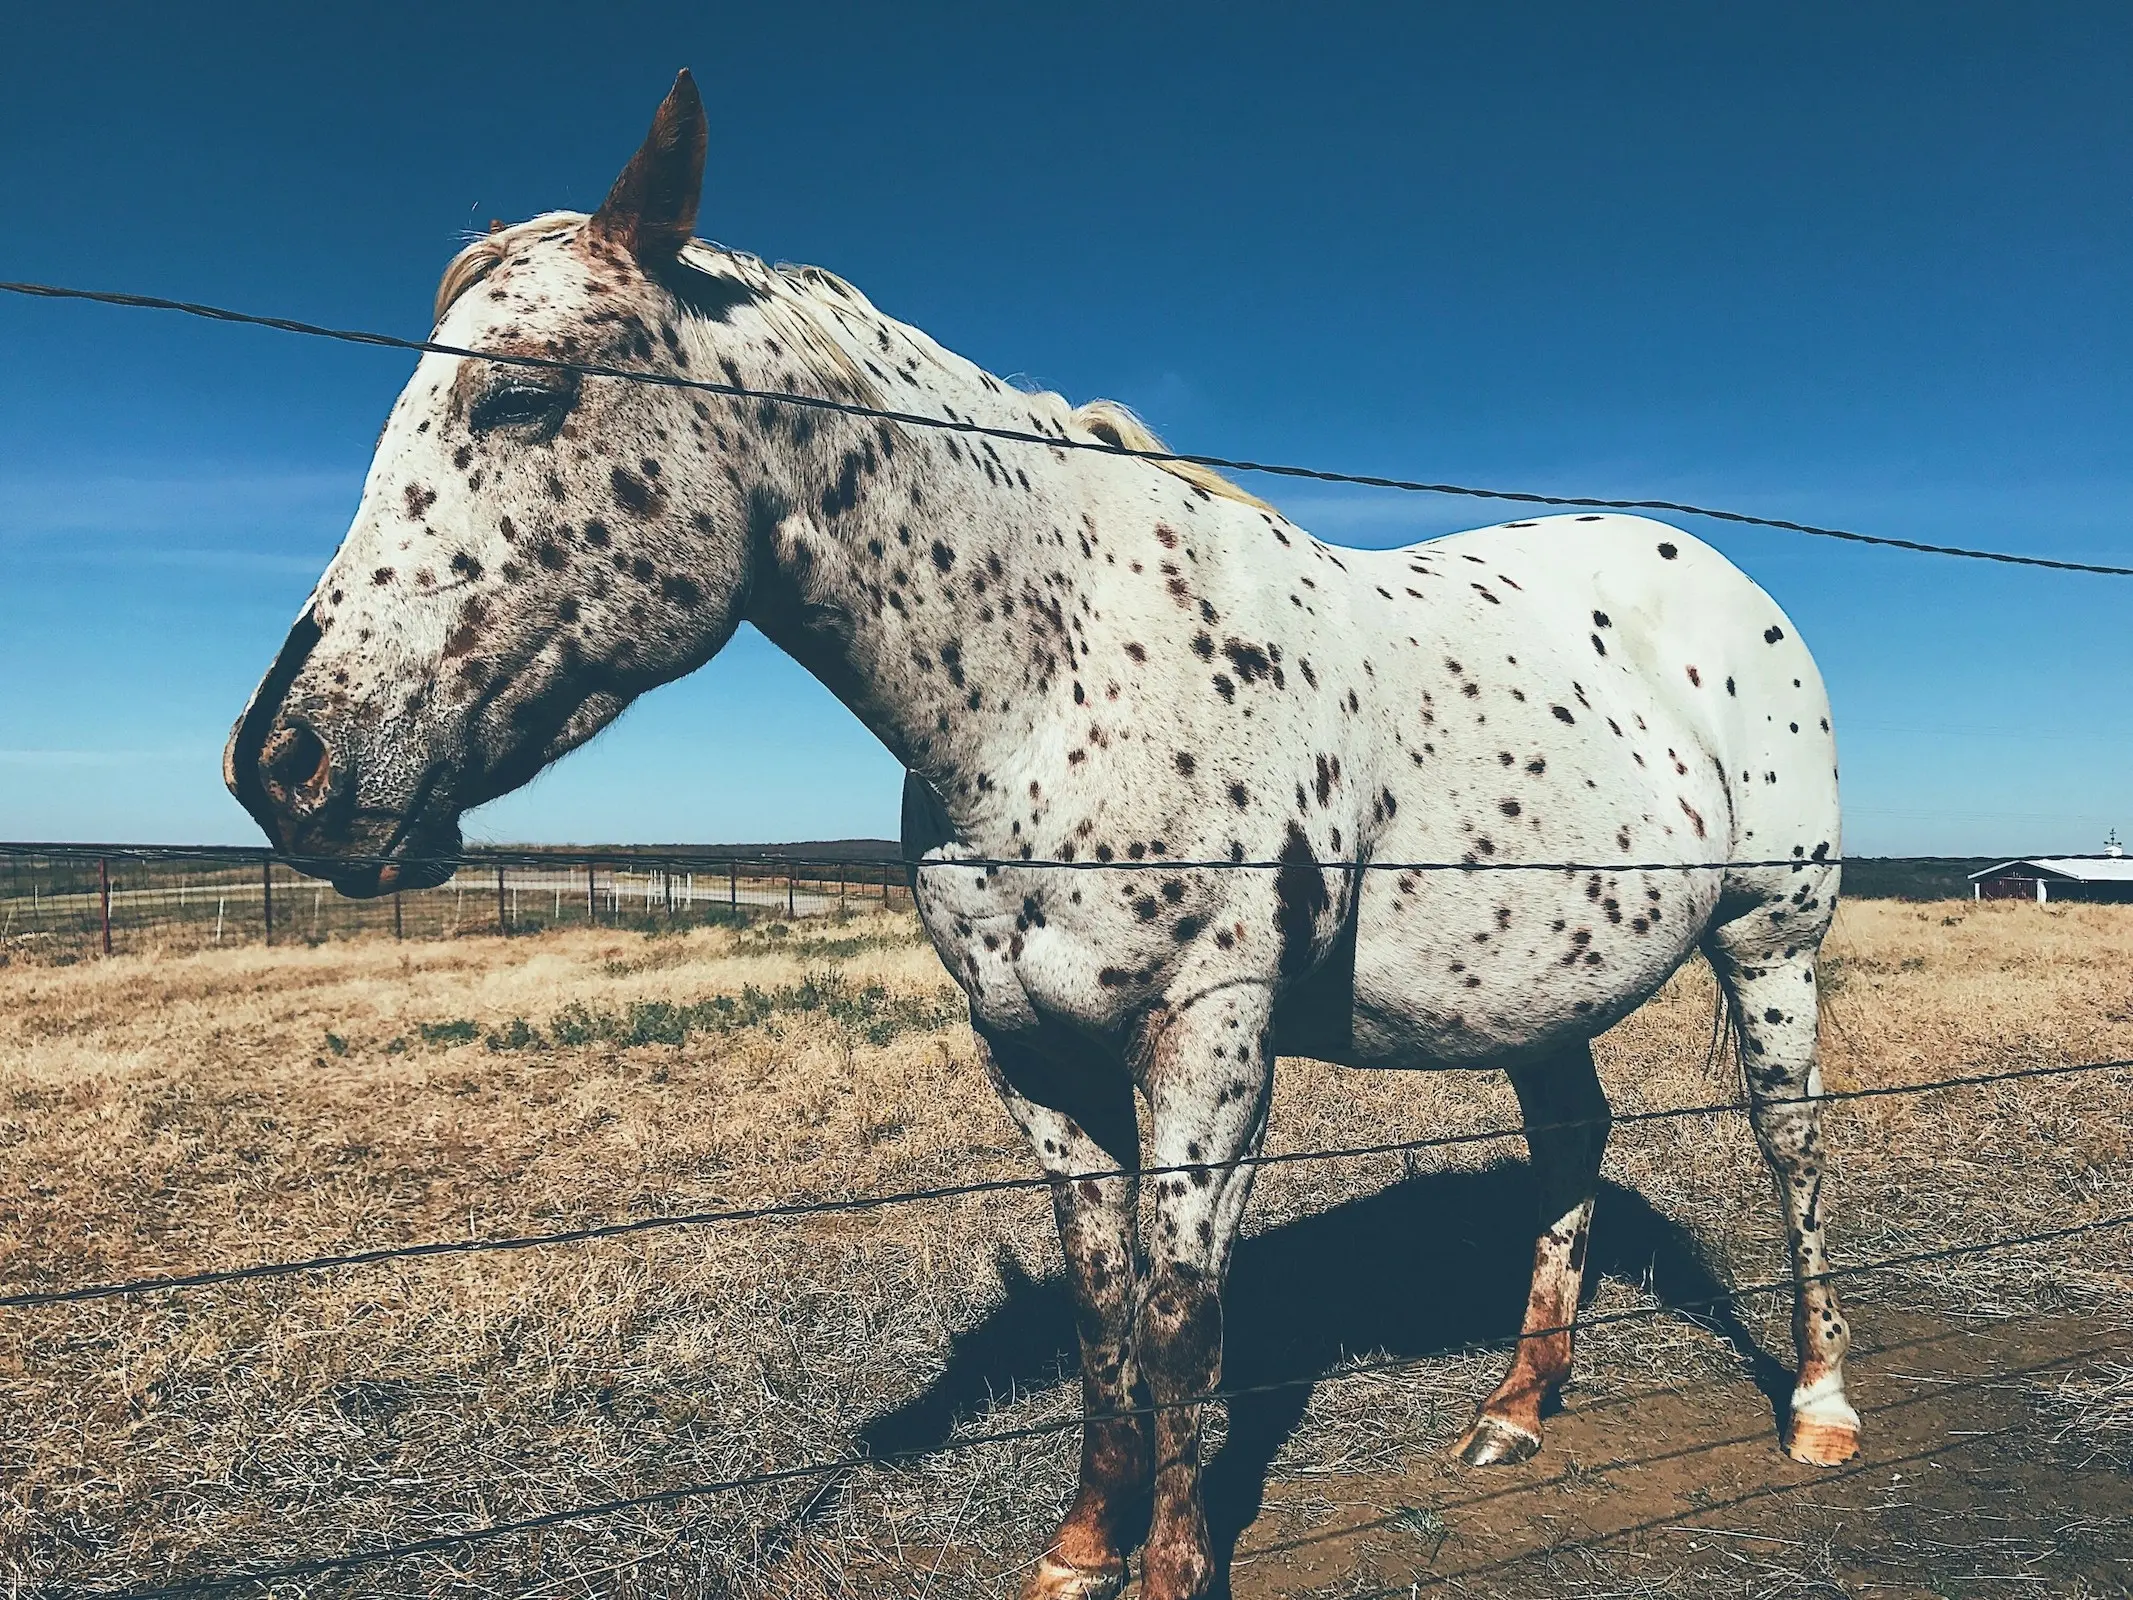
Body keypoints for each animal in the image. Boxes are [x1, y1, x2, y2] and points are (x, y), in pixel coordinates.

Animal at [233, 72, 1859, 1600]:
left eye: (518, 395)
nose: (284, 766)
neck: (1056, 683)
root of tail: (1726, 583)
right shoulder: (1031, 1052)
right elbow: (1098, 1312)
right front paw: (1080, 1545)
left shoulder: (1205, 1041)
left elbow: (1181, 1321)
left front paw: (1171, 1566)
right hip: (1538, 986)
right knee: (1570, 1139)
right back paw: (1516, 1410)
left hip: (1770, 941)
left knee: (1790, 1140)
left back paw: (1820, 1409)